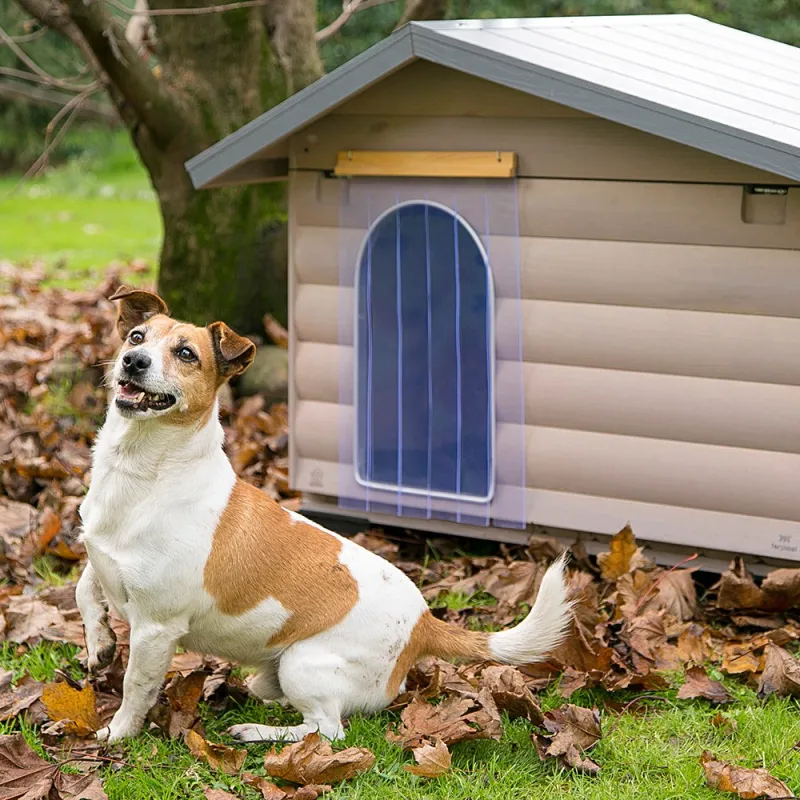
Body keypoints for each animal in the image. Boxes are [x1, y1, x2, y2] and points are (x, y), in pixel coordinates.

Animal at [76, 286, 576, 744]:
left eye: (185, 354)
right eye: (136, 336)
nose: (133, 361)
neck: (144, 473)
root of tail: (424, 623)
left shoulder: (156, 630)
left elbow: (135, 687)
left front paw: (116, 734)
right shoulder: (100, 558)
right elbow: (85, 587)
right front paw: (100, 644)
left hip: (304, 664)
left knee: (327, 730)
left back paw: (257, 732)